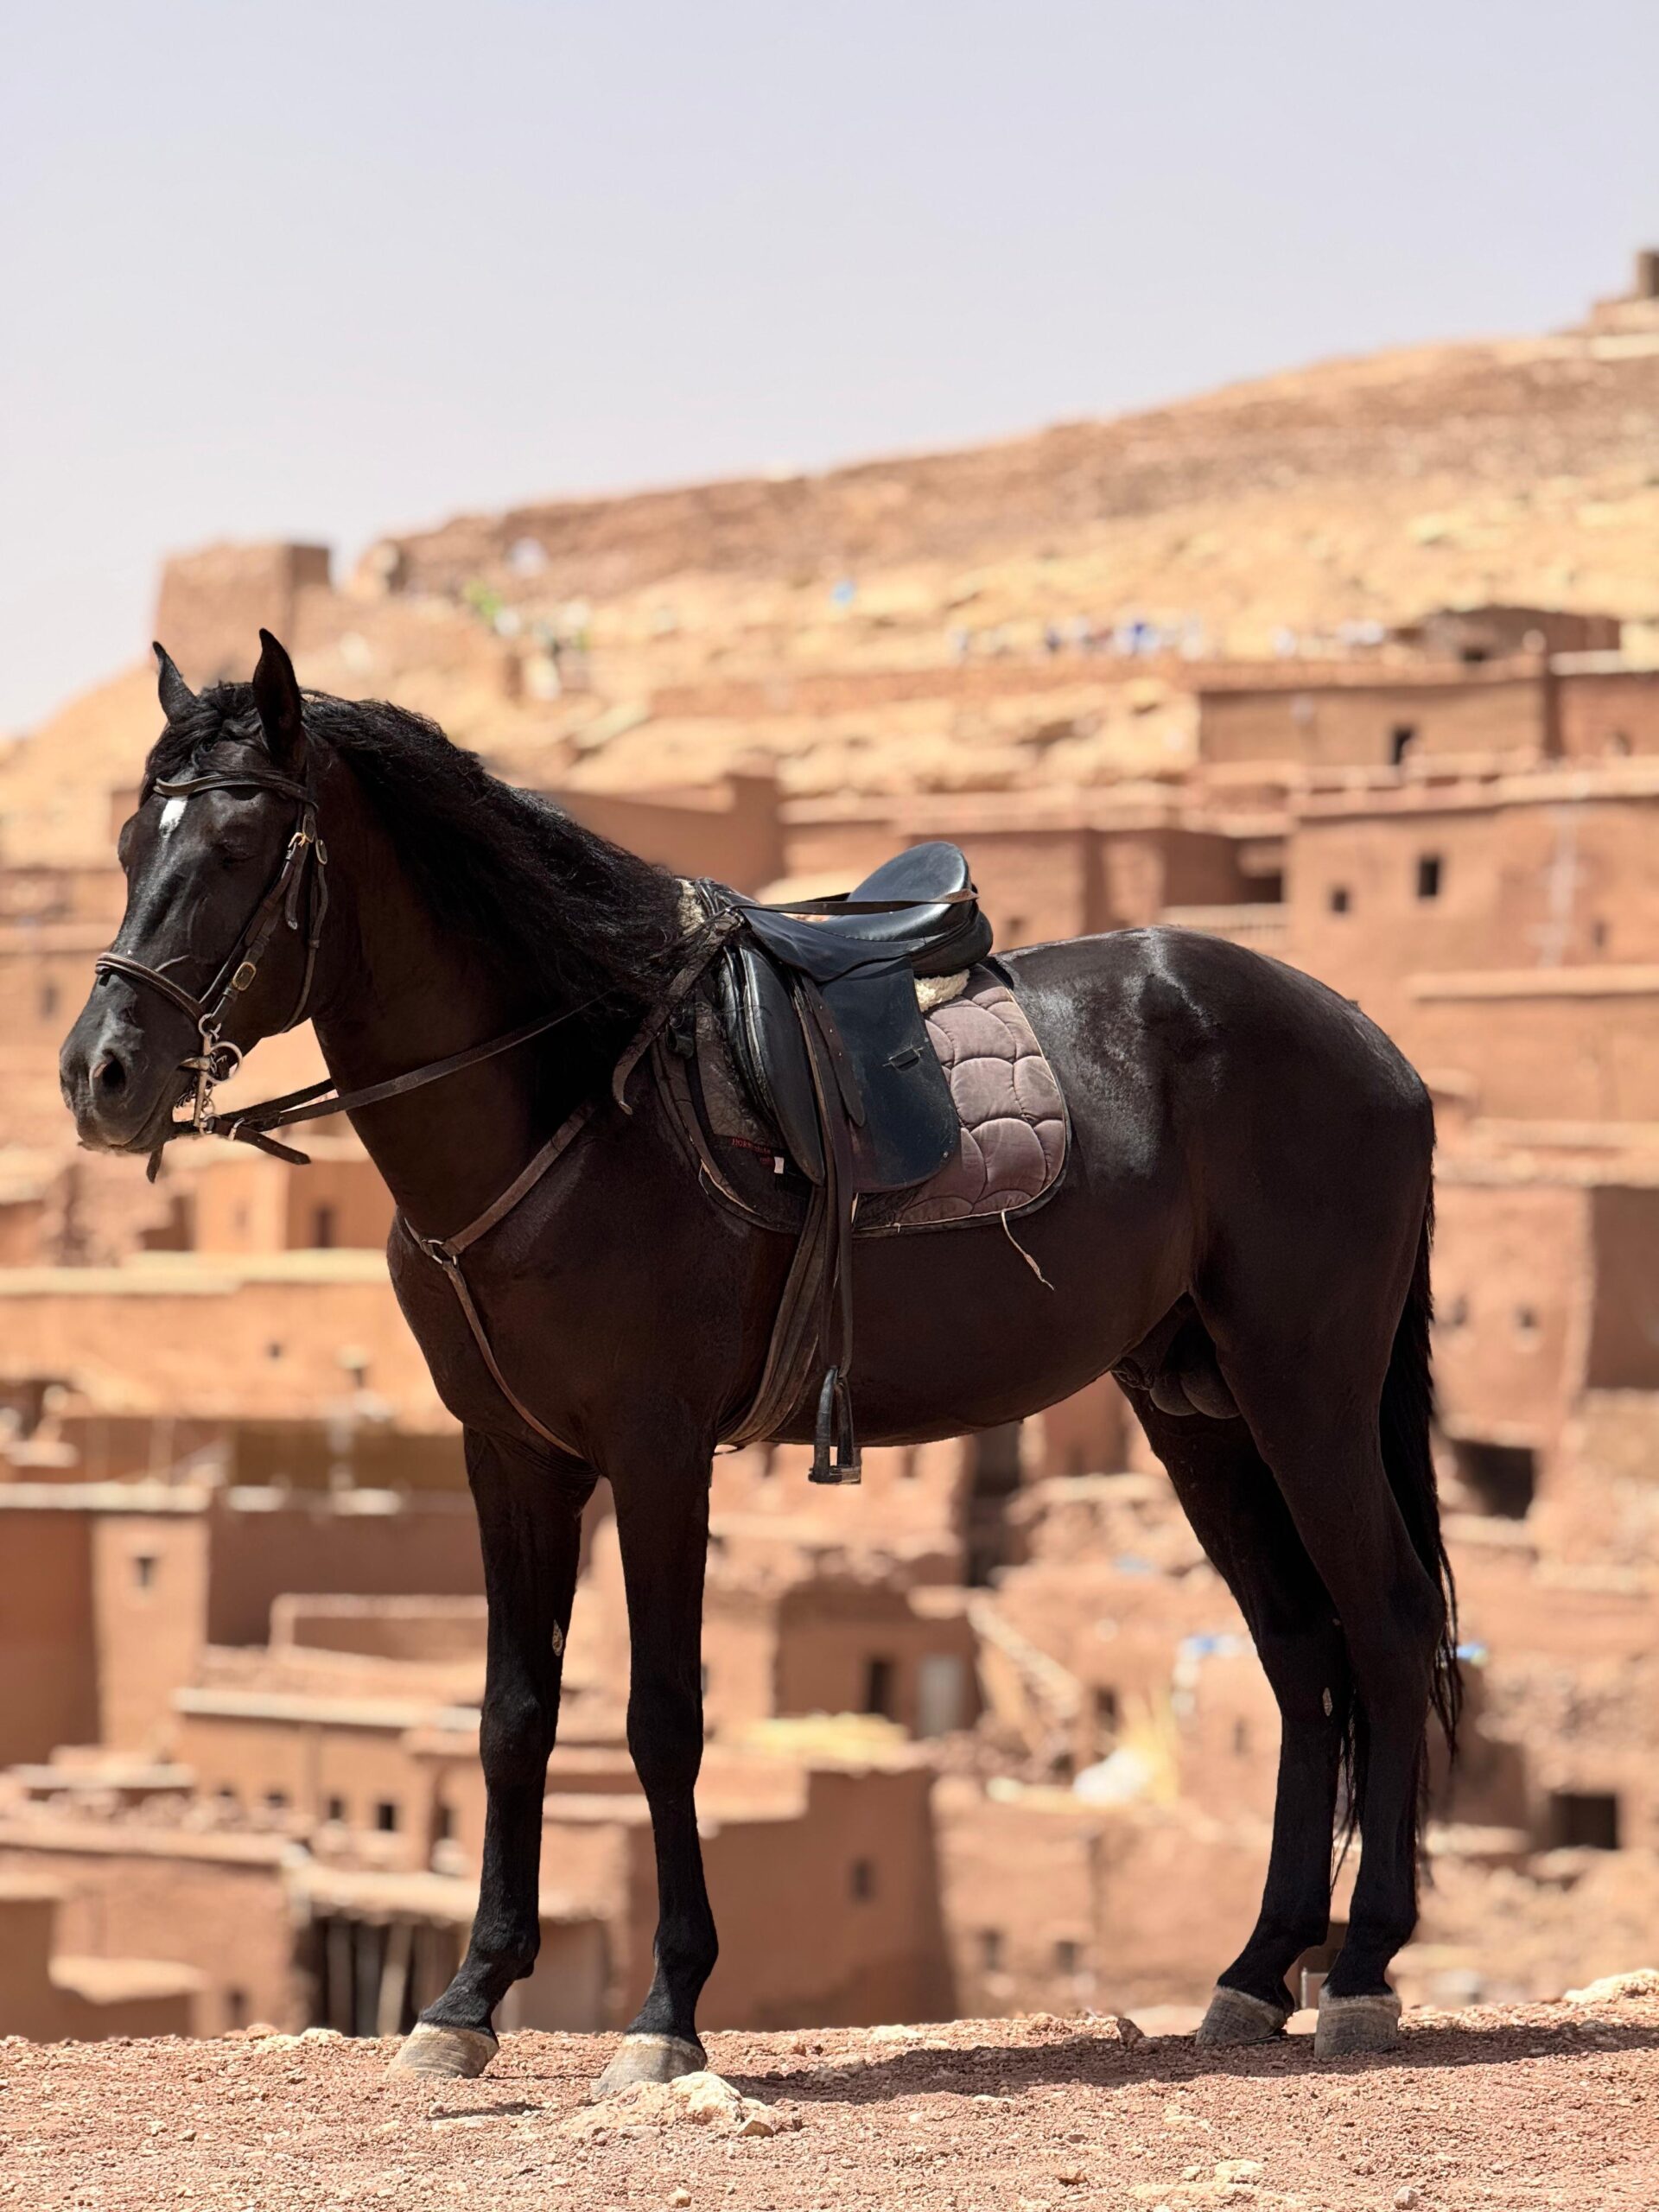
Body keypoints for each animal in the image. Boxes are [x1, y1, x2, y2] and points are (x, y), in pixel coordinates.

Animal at [61, 631, 1458, 2088]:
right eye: (129, 844)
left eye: (236, 847)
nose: (99, 1074)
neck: (567, 1102)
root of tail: (1374, 1044)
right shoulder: (508, 1454)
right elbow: (513, 1714)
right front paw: (466, 2002)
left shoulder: (658, 1449)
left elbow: (662, 1716)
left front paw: (666, 2013)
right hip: (1196, 1403)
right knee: (1298, 1649)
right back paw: (1254, 1972)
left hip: (1309, 1384)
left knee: (1388, 1616)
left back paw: (1362, 1969)